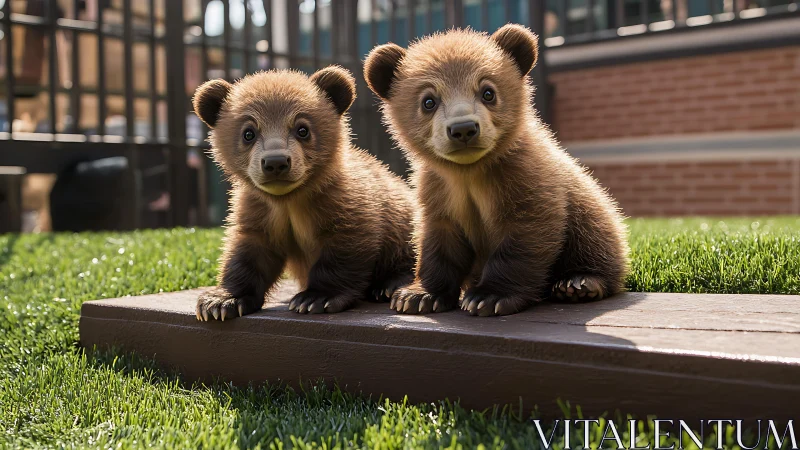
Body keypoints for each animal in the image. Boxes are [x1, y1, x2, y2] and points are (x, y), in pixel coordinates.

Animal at [192, 66, 417, 320]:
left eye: (302, 129)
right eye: (248, 132)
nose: (276, 162)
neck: (290, 200)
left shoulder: (343, 203)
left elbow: (345, 247)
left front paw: (315, 298)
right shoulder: (260, 211)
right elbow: (249, 252)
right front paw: (220, 301)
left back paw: (389, 285)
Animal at [363, 25, 630, 316]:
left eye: (487, 91)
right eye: (428, 101)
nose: (463, 128)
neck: (469, 173)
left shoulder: (525, 180)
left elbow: (523, 239)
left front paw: (488, 297)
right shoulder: (439, 193)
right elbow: (438, 244)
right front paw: (417, 296)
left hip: (588, 212)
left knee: (595, 239)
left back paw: (578, 283)